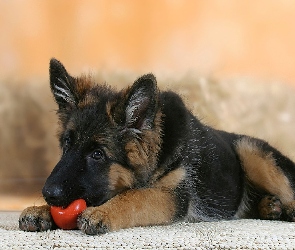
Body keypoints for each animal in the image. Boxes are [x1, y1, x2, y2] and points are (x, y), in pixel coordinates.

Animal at [19, 58, 295, 234]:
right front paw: (40, 210)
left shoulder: (172, 195)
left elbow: (136, 197)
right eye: (67, 144)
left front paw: (103, 213)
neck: (159, 153)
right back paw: (270, 207)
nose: (48, 194)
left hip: (250, 150)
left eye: (98, 154)